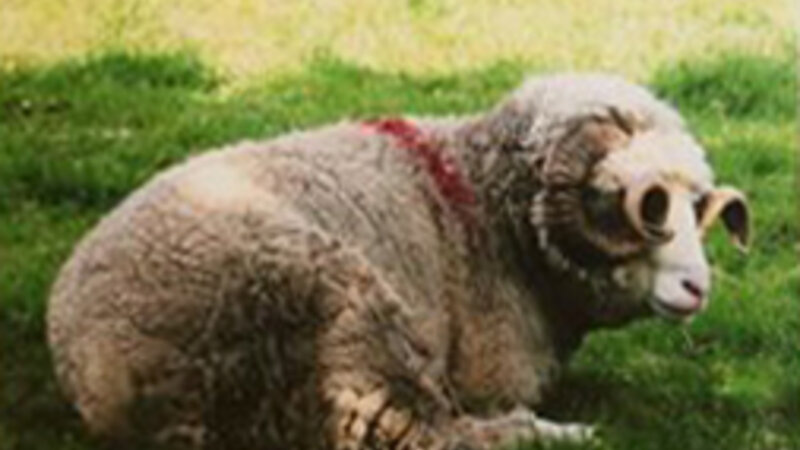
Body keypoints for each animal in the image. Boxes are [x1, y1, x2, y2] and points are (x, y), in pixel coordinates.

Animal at [46, 73, 750, 450]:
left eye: (696, 204)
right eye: (637, 205)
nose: (698, 287)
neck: (482, 205)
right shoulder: (493, 374)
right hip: (342, 313)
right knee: (431, 434)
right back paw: (563, 434)